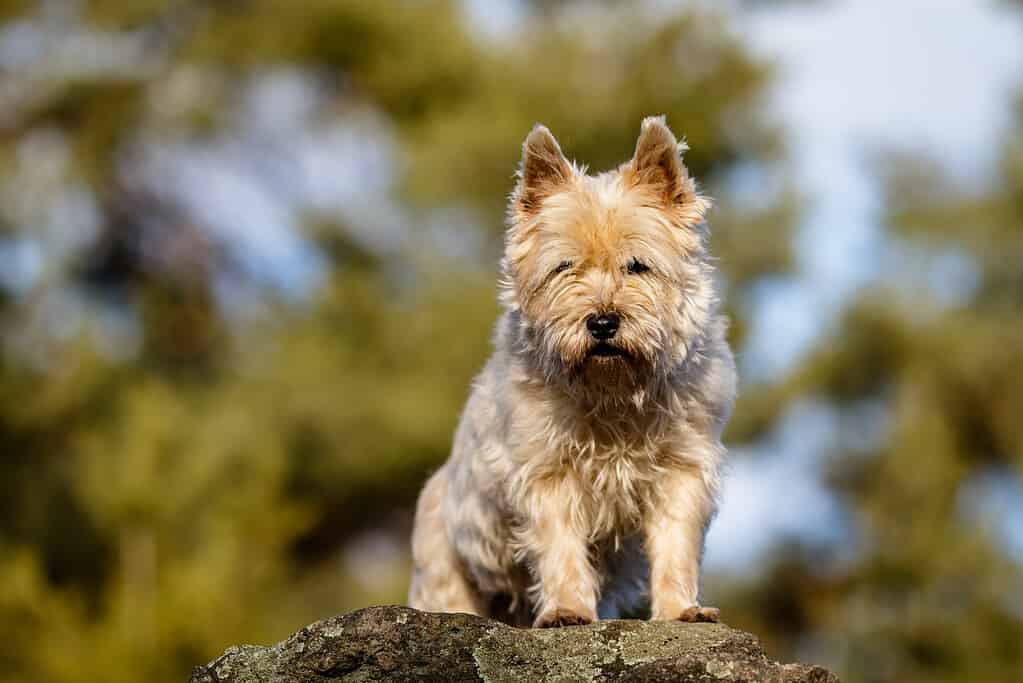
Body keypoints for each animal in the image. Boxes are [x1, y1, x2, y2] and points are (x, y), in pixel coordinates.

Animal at [407, 117, 736, 629]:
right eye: (564, 267)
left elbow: (675, 542)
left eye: (637, 265)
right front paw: (566, 610)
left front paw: (682, 608)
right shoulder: (547, 471)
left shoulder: (682, 469)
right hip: (446, 564)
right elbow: (560, 542)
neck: (613, 390)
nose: (602, 322)